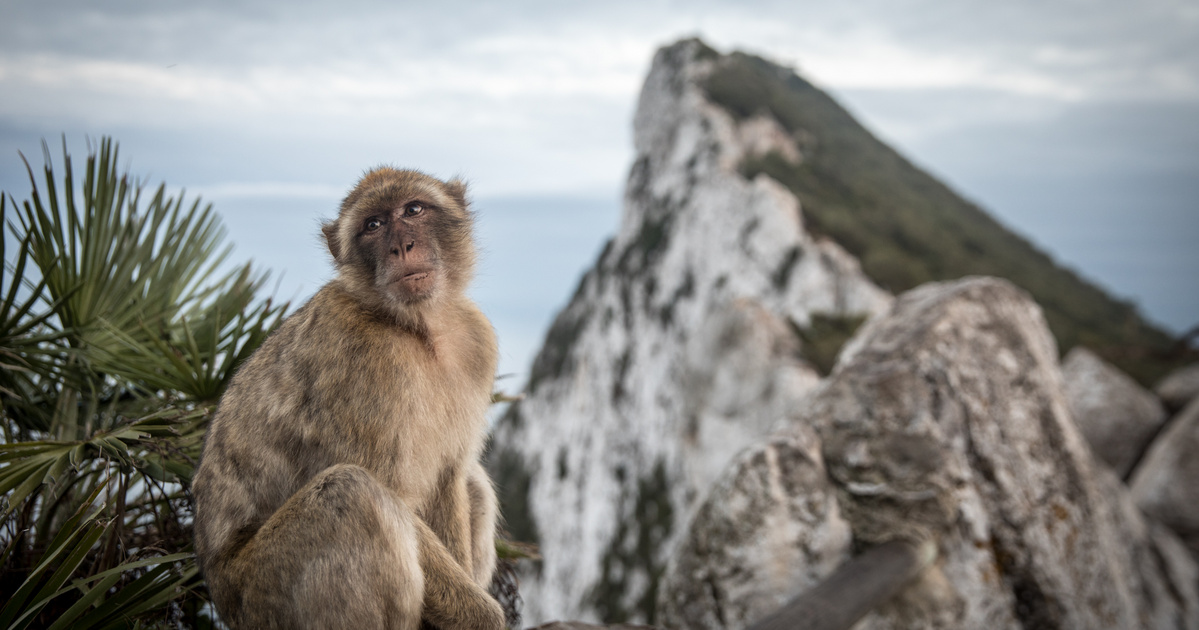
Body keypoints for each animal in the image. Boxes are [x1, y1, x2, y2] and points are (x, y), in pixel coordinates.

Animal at [190, 166, 505, 628]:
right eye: (372, 225)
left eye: (413, 209)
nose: (401, 246)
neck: (415, 327)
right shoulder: (360, 360)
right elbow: (391, 493)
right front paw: (481, 617)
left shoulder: (475, 339)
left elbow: (449, 477)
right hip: (262, 596)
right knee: (352, 494)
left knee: (473, 482)